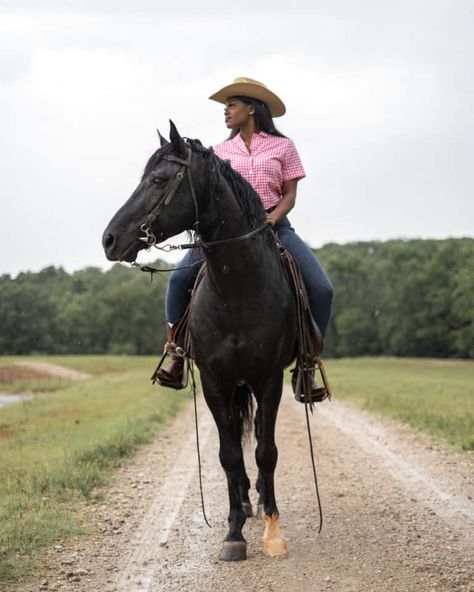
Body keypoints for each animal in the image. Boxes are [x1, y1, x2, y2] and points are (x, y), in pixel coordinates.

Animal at [103, 122, 296, 560]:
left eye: (158, 180)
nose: (109, 239)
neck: (238, 288)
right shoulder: (214, 381)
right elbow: (228, 455)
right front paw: (234, 532)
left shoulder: (269, 379)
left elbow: (266, 451)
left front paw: (273, 530)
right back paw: (245, 502)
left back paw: (259, 500)